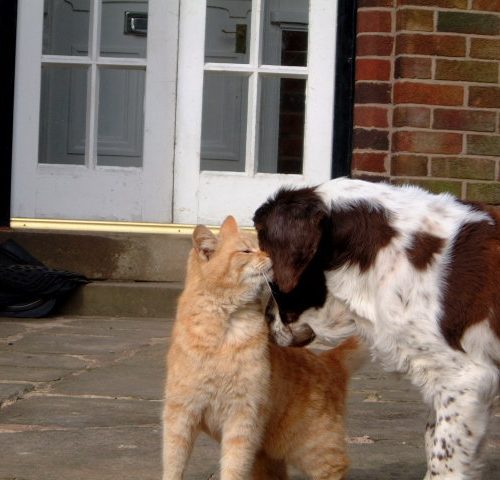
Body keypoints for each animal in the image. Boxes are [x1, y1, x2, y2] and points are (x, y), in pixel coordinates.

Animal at [163, 218, 364, 480]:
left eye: (261, 246)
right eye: (246, 251)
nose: (270, 254)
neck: (226, 326)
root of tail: (329, 361)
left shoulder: (242, 418)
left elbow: (233, 467)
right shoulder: (180, 414)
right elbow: (173, 463)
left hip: (312, 446)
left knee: (337, 465)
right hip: (267, 458)